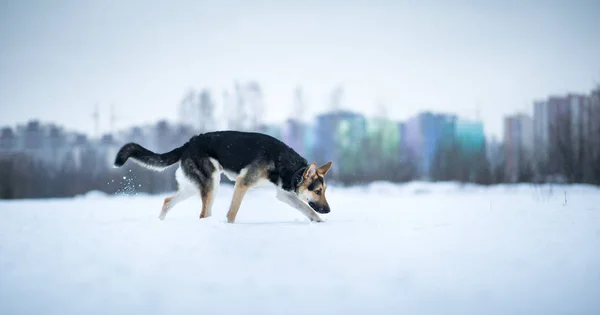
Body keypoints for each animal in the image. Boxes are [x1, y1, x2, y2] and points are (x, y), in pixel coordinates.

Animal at [112, 131, 332, 225]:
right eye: (317, 191)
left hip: (196, 186)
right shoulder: (242, 184)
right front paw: (228, 227)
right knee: (203, 213)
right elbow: (232, 212)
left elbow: (305, 208)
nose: (329, 210)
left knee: (167, 201)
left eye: (324, 191)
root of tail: (188, 144)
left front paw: (319, 221)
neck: (286, 164)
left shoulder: (283, 194)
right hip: (211, 184)